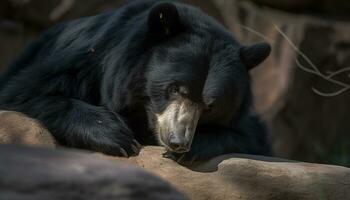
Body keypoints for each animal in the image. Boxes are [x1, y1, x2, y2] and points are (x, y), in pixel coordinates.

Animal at [0, 0, 272, 160]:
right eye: (175, 89)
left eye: (210, 106)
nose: (178, 142)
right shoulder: (88, 57)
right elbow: (25, 92)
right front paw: (119, 138)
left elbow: (249, 135)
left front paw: (194, 146)